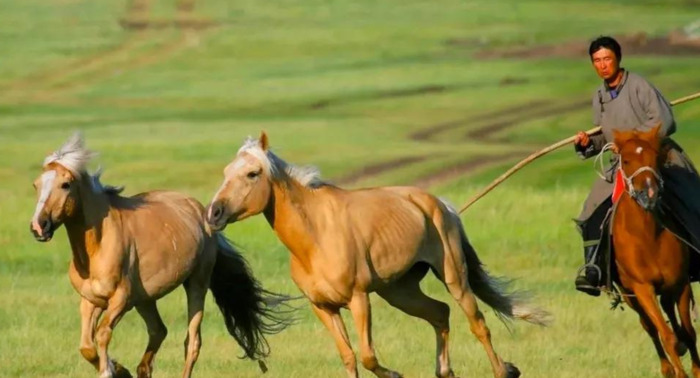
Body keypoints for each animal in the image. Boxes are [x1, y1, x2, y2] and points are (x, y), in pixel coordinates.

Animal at [30, 134, 290, 378]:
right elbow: (86, 346)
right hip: (145, 299)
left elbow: (102, 335)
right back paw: (140, 369)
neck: (97, 249)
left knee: (191, 342)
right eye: (36, 185)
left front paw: (111, 370)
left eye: (65, 184)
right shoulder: (91, 301)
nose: (38, 226)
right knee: (159, 331)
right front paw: (120, 369)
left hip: (196, 284)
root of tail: (201, 212)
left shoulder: (120, 300)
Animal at [205, 132, 548, 378]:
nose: (214, 213)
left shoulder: (358, 299)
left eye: (253, 173)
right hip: (399, 291)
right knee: (440, 313)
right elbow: (349, 357)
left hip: (453, 277)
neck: (316, 239)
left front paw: (395, 375)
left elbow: (369, 356)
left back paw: (505, 370)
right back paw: (445, 371)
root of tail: (441, 204)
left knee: (478, 324)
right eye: (225, 172)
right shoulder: (323, 308)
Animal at [612, 126, 700, 378]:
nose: (649, 194)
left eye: (654, 157)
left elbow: (689, 332)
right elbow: (665, 336)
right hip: (630, 296)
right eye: (626, 160)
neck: (648, 236)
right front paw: (679, 372)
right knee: (650, 327)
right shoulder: (643, 289)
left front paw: (695, 370)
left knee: (670, 311)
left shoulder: (680, 283)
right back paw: (667, 368)